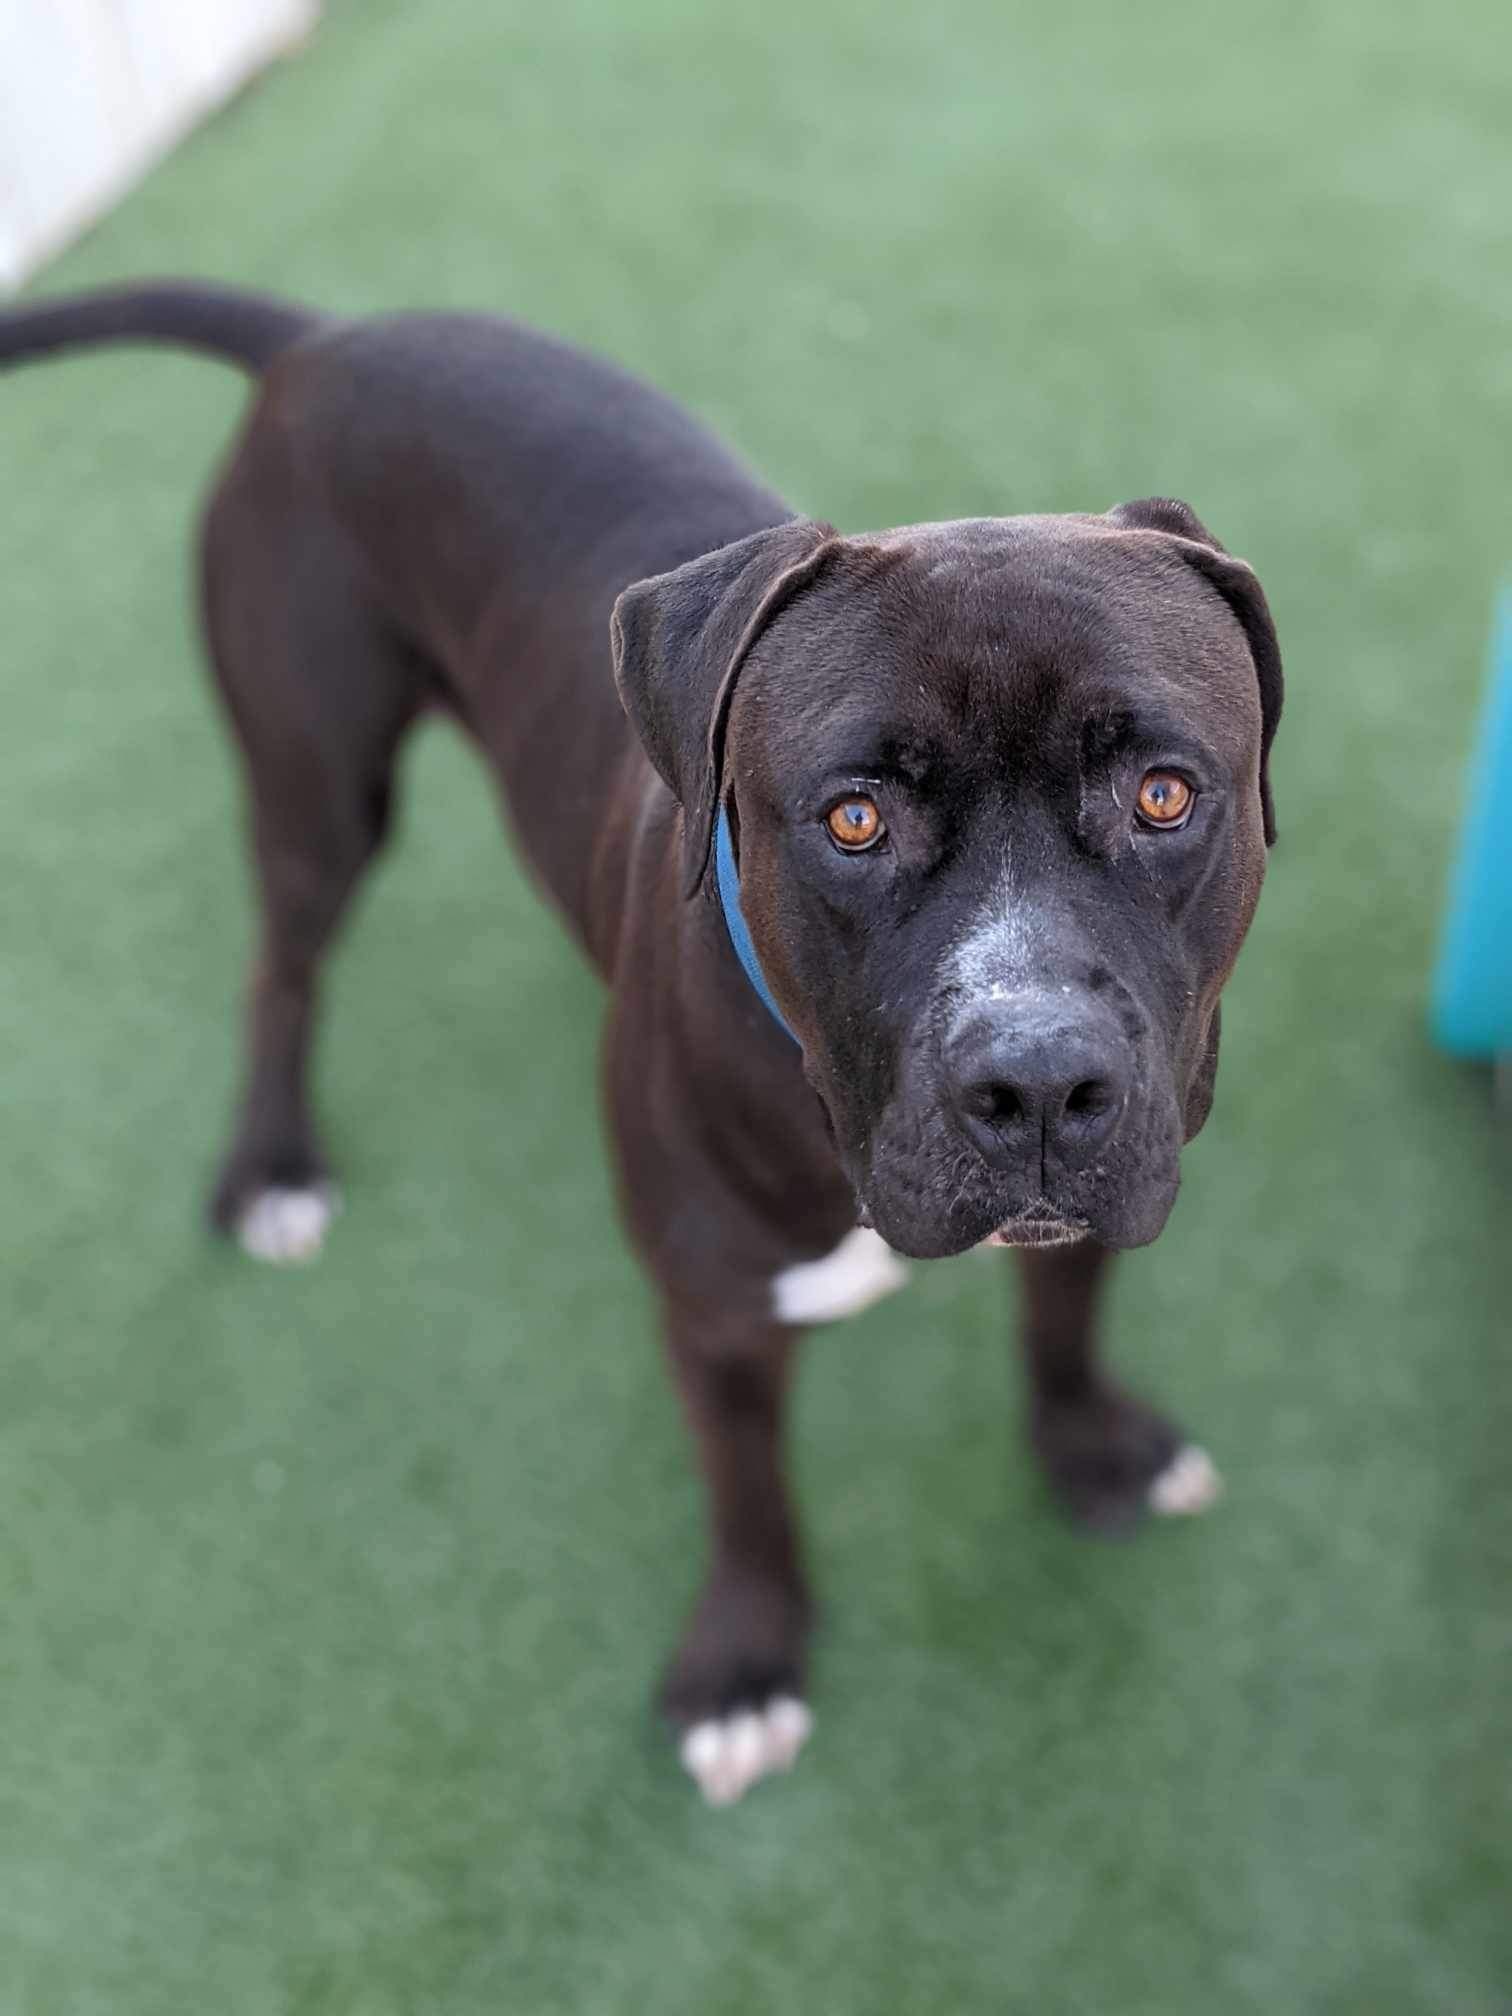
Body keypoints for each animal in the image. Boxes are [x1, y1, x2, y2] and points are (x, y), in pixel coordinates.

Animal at [0, 280, 1282, 1798]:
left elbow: (1064, 1324)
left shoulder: (1100, 1184)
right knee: (281, 973)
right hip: (319, 790)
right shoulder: (716, 1323)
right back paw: (270, 1169)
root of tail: (325, 341)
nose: (1035, 1079)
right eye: (854, 817)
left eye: (1163, 794)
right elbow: (751, 1496)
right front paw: (744, 1663)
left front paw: (1089, 1448)